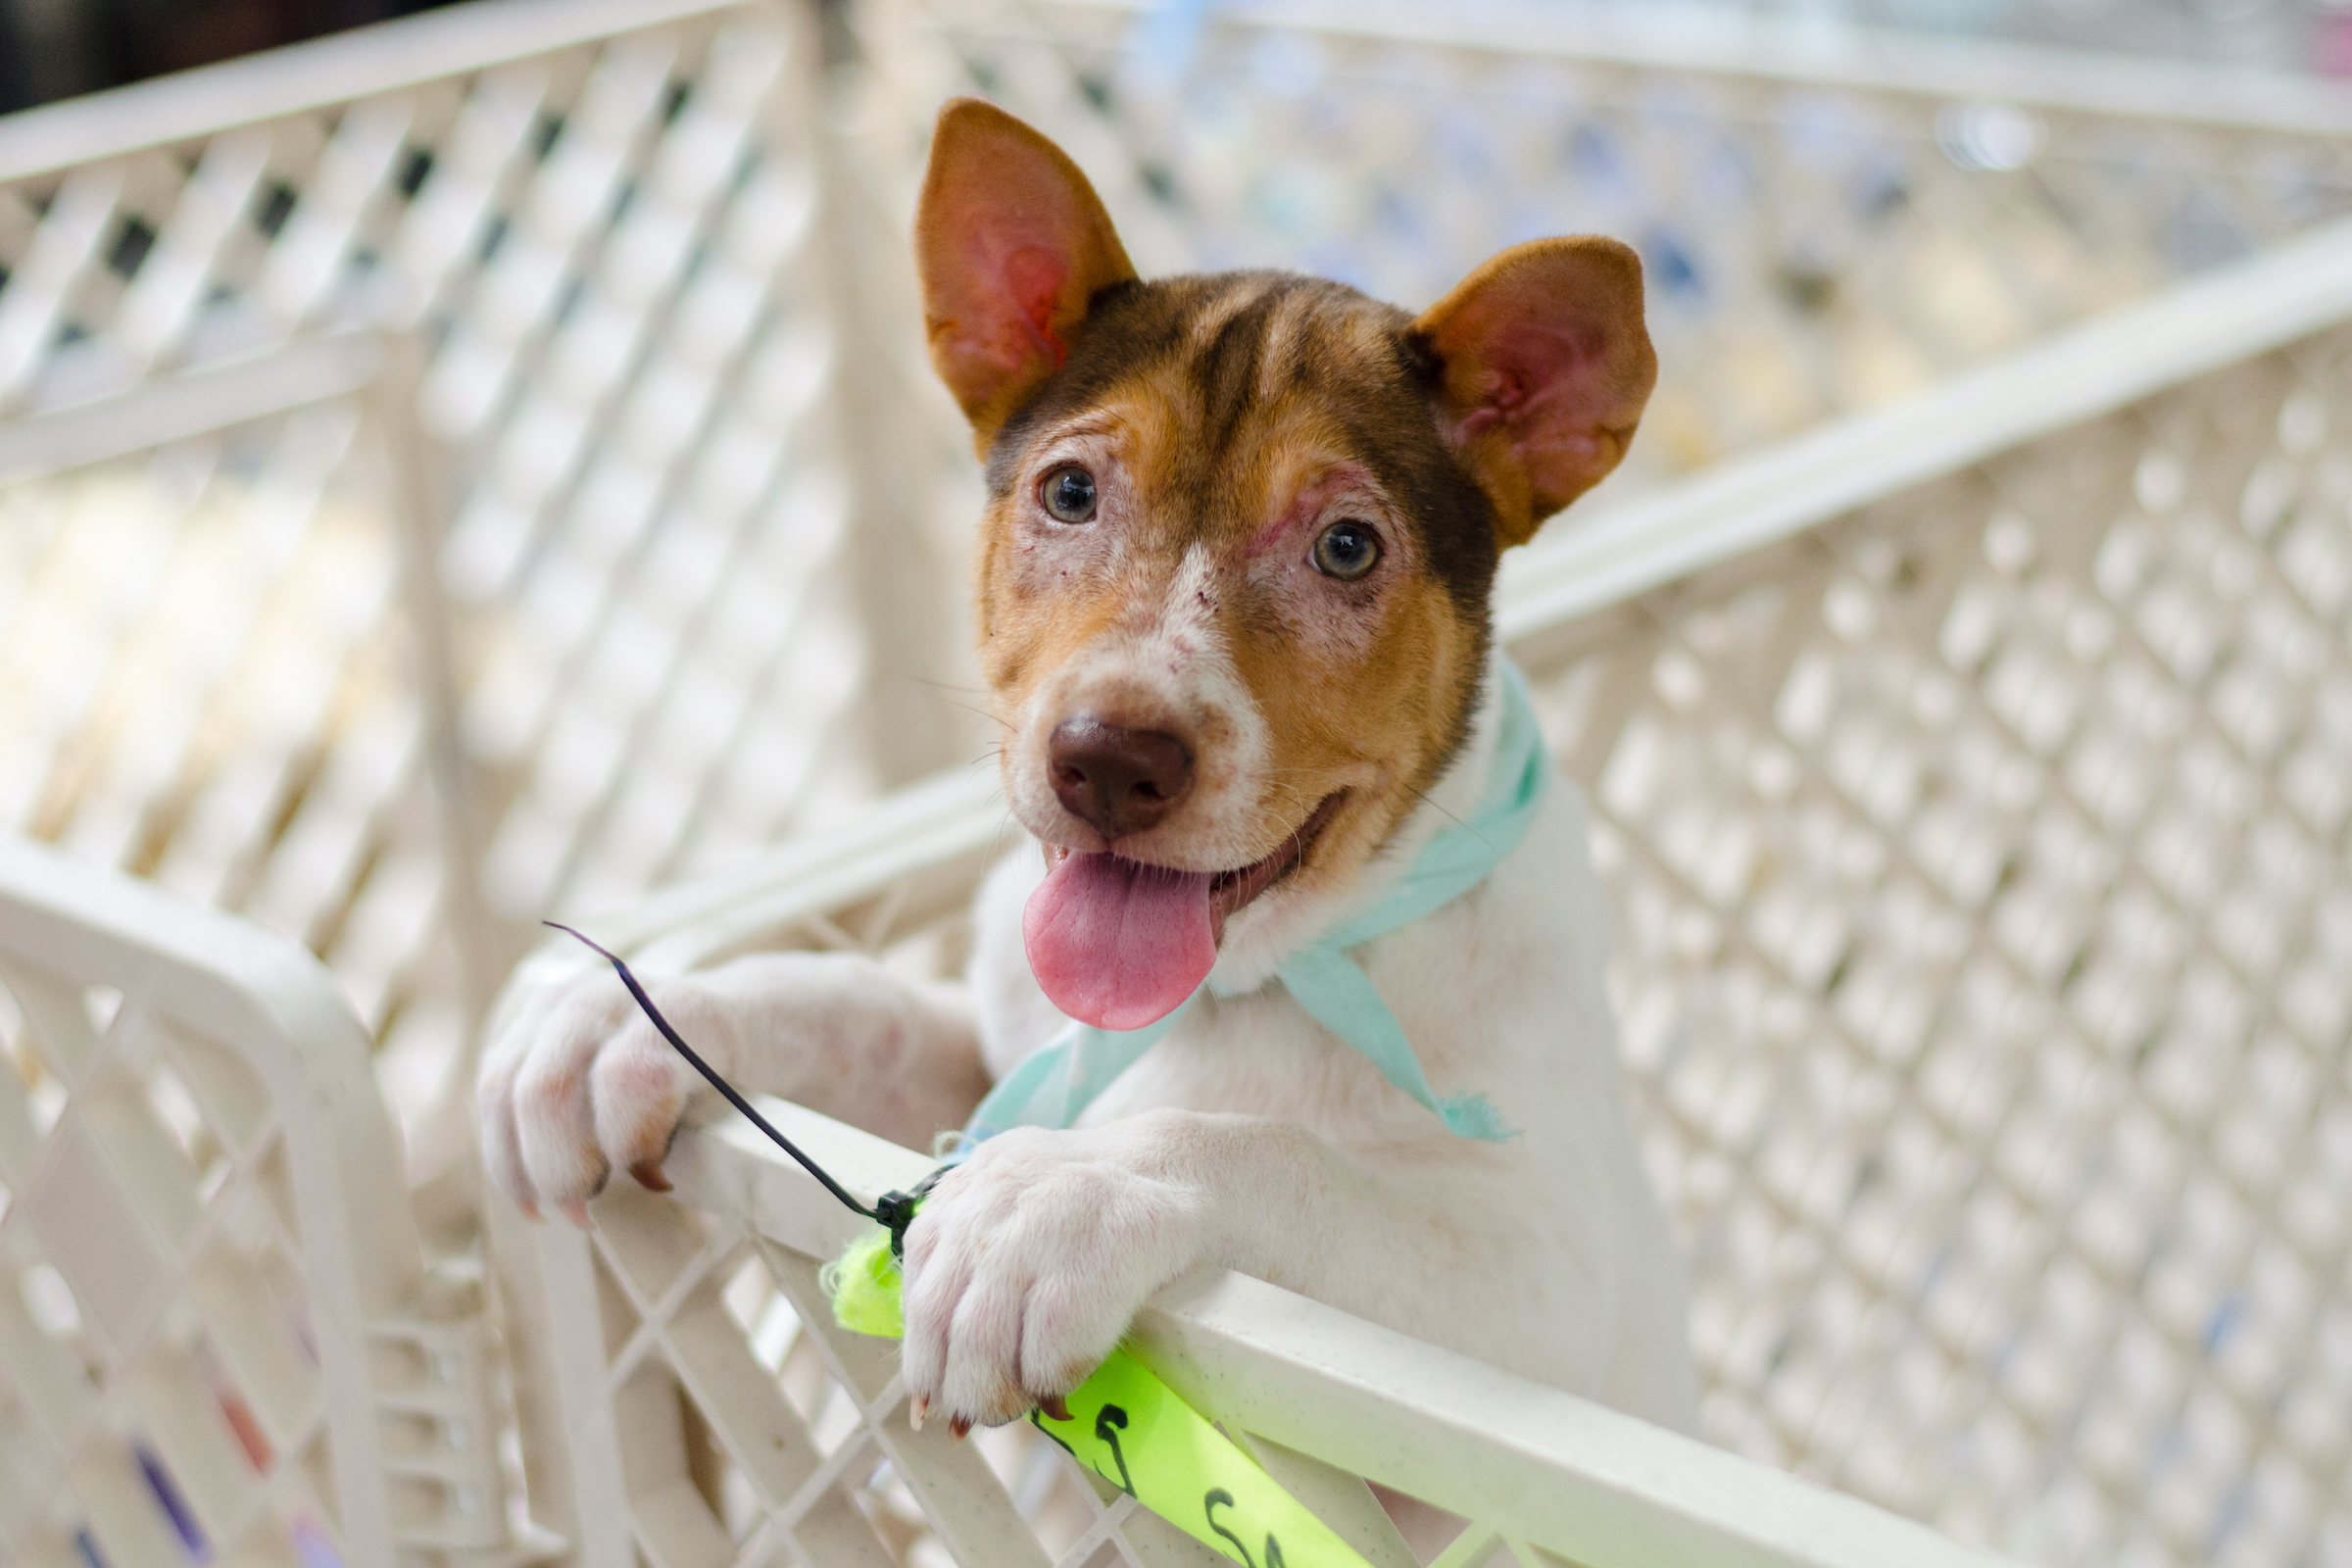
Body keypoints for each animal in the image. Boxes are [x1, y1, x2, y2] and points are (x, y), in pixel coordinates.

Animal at [477, 98, 1693, 1447]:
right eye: (1069, 492)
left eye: (1346, 548)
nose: (1109, 760)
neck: (1243, 983)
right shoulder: (996, 1049)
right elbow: (867, 1006)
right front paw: (641, 1013)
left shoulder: (1543, 1288)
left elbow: (1268, 1150)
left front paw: (1056, 1194)